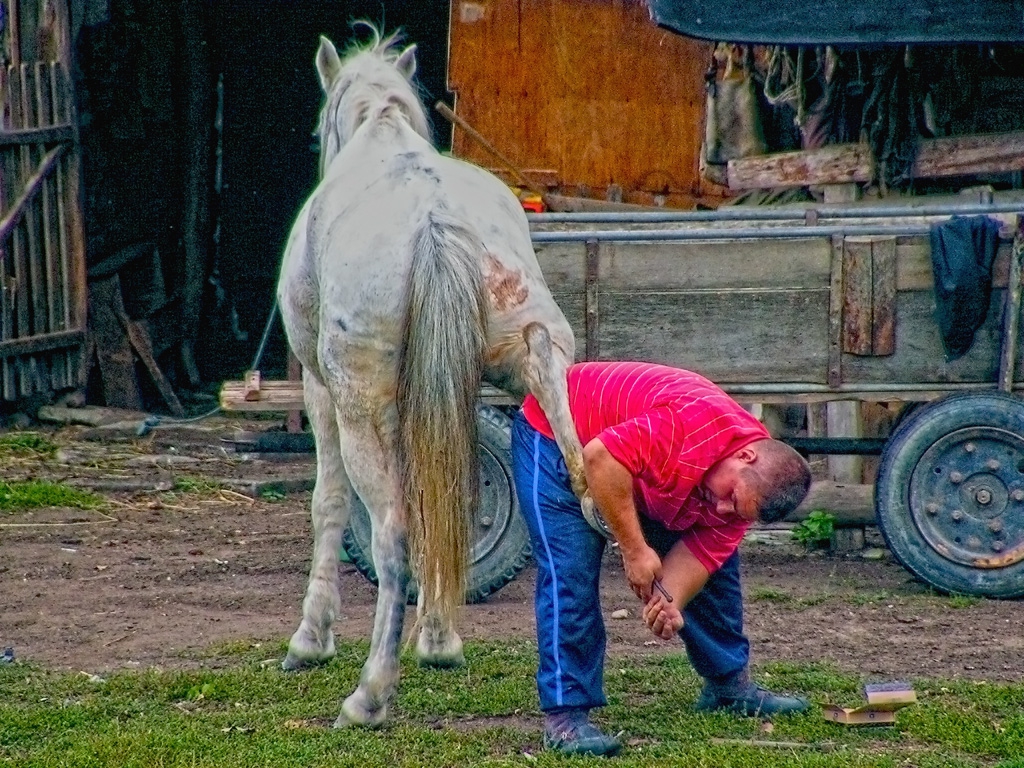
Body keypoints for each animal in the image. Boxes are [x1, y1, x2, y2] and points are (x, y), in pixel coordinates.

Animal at [276, 28, 589, 729]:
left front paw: (311, 638)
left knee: (391, 534)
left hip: (362, 411)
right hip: (536, 358)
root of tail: (436, 222)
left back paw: (369, 694)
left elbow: (327, 504)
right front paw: (441, 640)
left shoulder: (319, 390)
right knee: (583, 478)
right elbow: (451, 499)